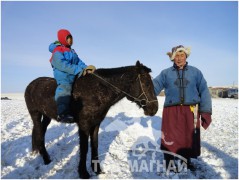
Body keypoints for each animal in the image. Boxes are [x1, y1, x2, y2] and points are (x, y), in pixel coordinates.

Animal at [24, 60, 159, 179]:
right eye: (147, 83)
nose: (154, 108)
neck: (96, 91)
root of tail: (31, 85)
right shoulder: (84, 125)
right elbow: (84, 148)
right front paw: (83, 173)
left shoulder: (95, 124)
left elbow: (94, 145)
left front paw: (97, 169)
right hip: (35, 114)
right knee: (39, 132)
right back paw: (46, 159)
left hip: (46, 116)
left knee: (41, 131)